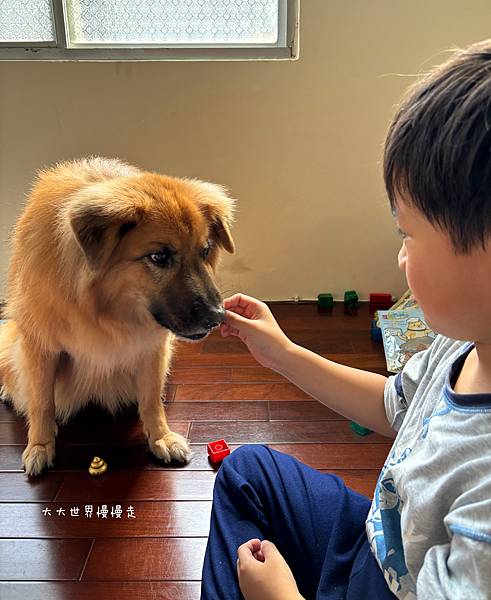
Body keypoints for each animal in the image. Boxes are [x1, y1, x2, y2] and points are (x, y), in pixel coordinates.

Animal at [0, 157, 236, 476]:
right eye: (159, 257)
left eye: (205, 250)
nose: (218, 317)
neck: (103, 312)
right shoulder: (40, 346)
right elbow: (41, 402)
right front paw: (39, 446)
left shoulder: (151, 346)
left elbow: (151, 399)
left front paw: (160, 437)